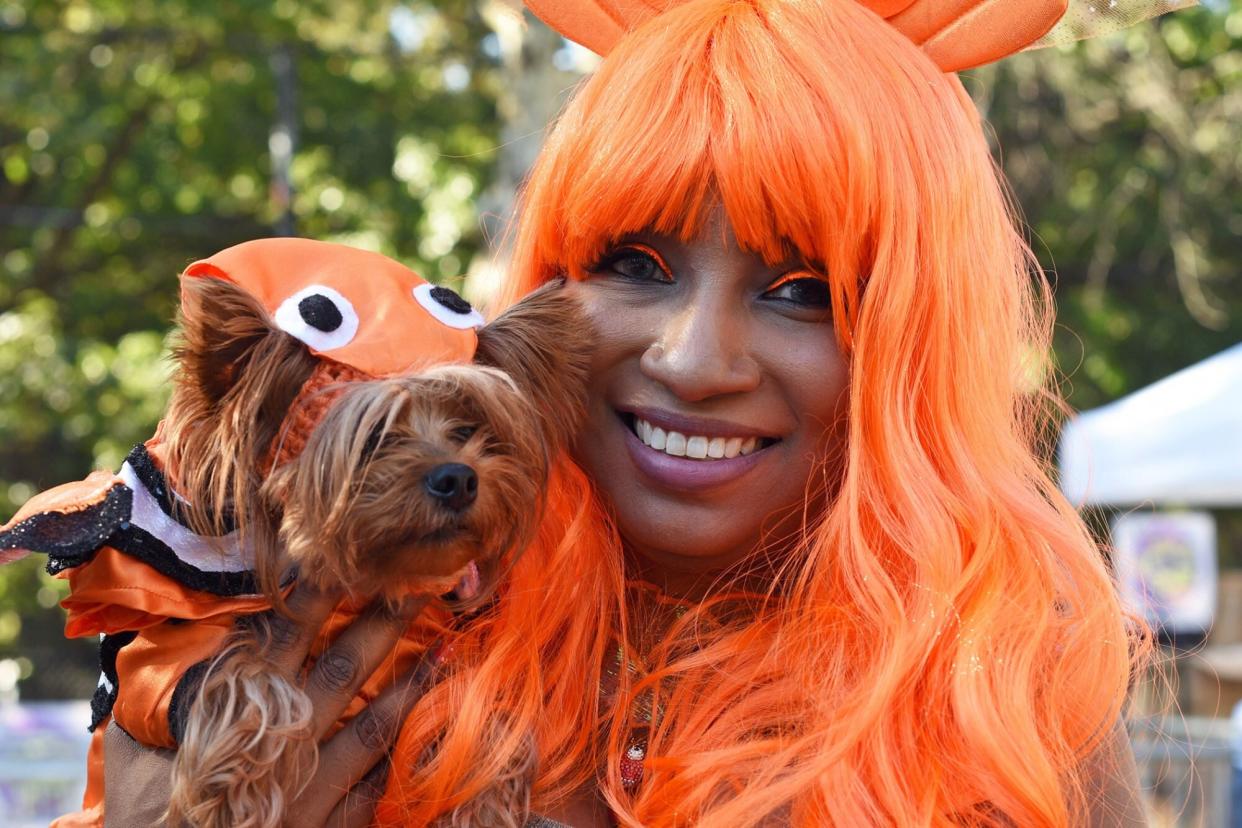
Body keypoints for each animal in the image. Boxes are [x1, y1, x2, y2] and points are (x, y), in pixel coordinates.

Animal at [0, 235, 591, 824]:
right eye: (372, 436)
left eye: (468, 428)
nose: (460, 478)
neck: (362, 587)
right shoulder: (158, 664)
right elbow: (240, 679)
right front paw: (232, 790)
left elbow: (474, 709)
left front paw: (485, 797)